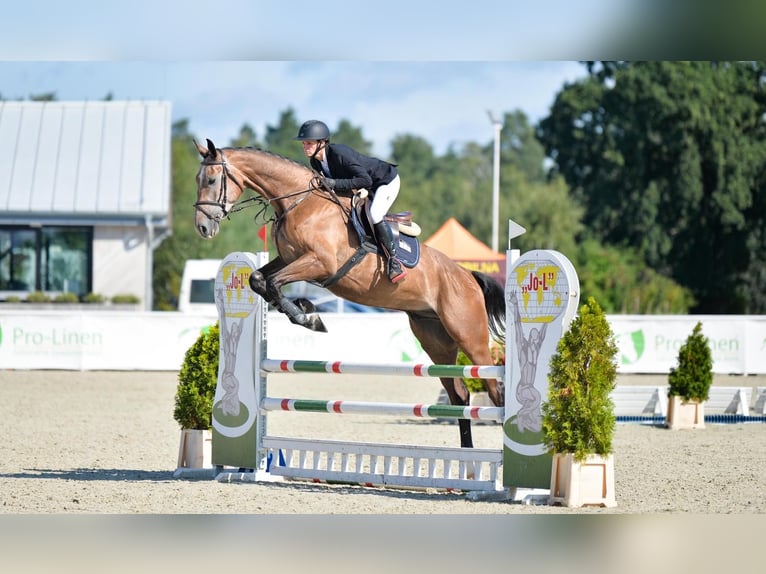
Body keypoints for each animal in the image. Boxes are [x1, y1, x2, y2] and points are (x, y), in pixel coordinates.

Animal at [194, 140, 504, 450]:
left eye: (211, 180)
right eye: (198, 179)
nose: (203, 228)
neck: (300, 203)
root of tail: (467, 276)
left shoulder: (318, 263)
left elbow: (273, 283)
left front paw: (309, 317)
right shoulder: (289, 259)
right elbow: (260, 280)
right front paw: (305, 310)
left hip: (469, 336)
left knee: (494, 388)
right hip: (435, 340)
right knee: (459, 394)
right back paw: (467, 455)